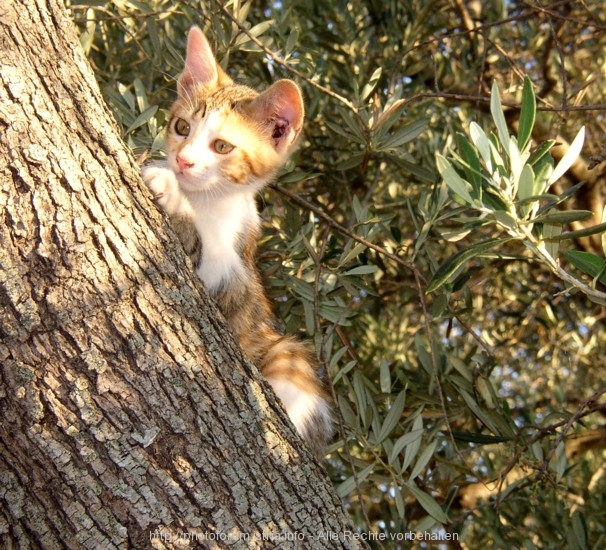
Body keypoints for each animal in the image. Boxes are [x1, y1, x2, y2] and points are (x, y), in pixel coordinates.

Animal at [142, 25, 332, 460]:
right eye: (182, 128)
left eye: (222, 146)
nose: (183, 162)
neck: (207, 200)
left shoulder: (235, 277)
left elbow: (208, 253)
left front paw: (170, 191)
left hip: (282, 351)